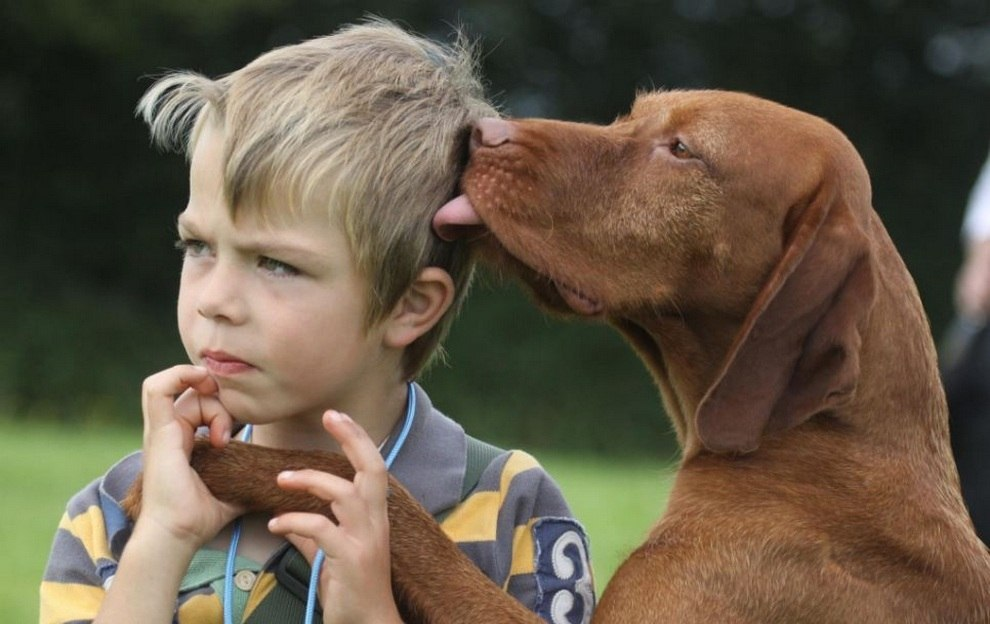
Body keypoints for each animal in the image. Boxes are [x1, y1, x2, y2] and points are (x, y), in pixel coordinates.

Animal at [130, 90, 990, 620]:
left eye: (682, 150)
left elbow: (393, 509)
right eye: (632, 116)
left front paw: (218, 468)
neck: (813, 451)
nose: (480, 133)